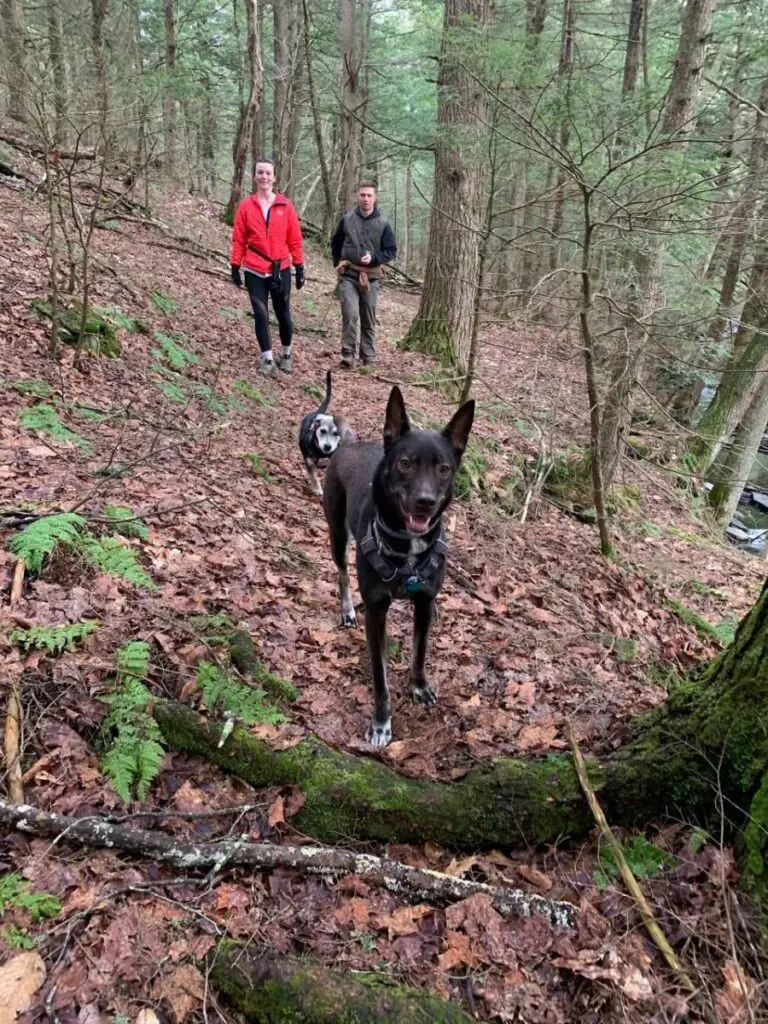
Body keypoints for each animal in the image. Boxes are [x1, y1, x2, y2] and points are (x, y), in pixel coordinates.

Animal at [319, 385, 475, 745]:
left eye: (444, 468)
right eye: (405, 463)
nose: (425, 501)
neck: (408, 551)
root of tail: (348, 445)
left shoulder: (425, 602)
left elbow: (419, 651)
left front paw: (419, 686)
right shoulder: (377, 612)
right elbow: (380, 676)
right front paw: (381, 722)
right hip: (337, 534)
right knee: (342, 573)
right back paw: (347, 609)